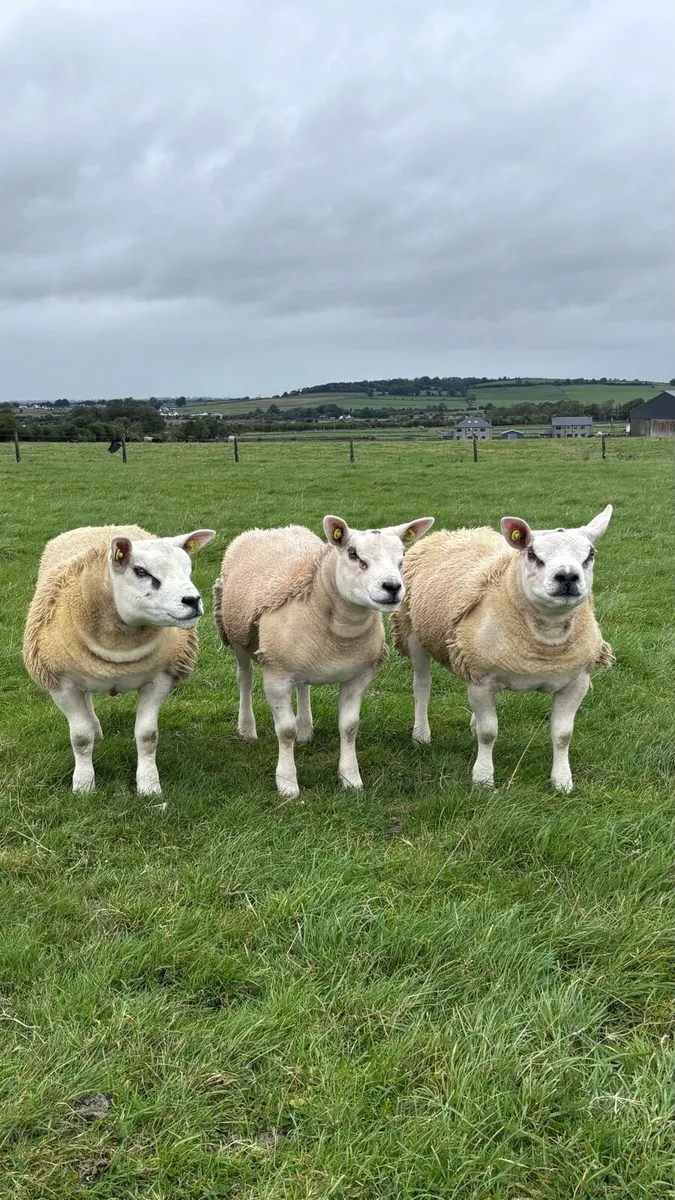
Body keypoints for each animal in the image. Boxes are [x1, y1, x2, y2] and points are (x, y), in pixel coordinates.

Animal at [23, 524, 216, 794]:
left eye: (188, 567)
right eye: (141, 571)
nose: (193, 601)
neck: (118, 651)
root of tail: (101, 527)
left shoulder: (159, 679)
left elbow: (147, 736)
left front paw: (149, 786)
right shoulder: (61, 684)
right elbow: (80, 738)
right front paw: (83, 785)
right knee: (86, 702)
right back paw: (95, 728)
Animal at [213, 514, 434, 798]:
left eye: (402, 556)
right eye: (353, 554)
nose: (393, 587)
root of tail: (271, 529)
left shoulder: (358, 677)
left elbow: (349, 727)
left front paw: (350, 778)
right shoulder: (276, 676)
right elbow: (285, 731)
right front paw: (287, 783)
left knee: (303, 687)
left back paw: (305, 729)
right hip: (236, 635)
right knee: (245, 680)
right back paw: (247, 728)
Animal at [391, 506, 614, 792]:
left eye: (590, 555)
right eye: (532, 554)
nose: (567, 576)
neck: (545, 644)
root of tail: (453, 532)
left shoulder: (577, 681)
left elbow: (563, 735)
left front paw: (562, 782)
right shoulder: (483, 680)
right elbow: (489, 733)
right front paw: (483, 779)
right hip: (414, 632)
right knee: (422, 686)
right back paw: (421, 734)